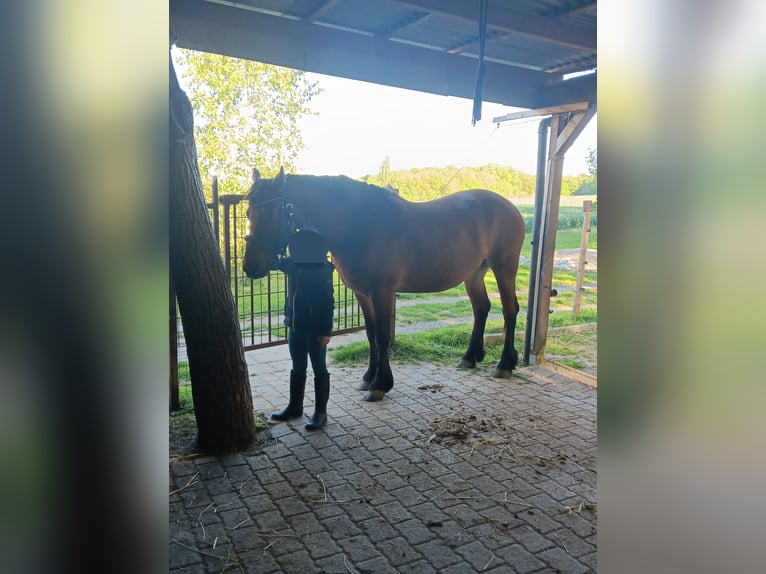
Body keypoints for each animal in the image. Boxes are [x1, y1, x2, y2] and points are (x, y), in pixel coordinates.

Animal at [242, 167, 525, 402]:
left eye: (272, 213)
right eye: (248, 212)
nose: (250, 267)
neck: (359, 223)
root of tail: (511, 208)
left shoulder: (383, 292)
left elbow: (381, 335)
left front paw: (381, 384)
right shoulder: (362, 293)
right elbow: (370, 334)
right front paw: (369, 378)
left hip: (504, 268)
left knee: (509, 310)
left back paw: (505, 364)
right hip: (474, 273)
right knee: (481, 308)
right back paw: (470, 357)